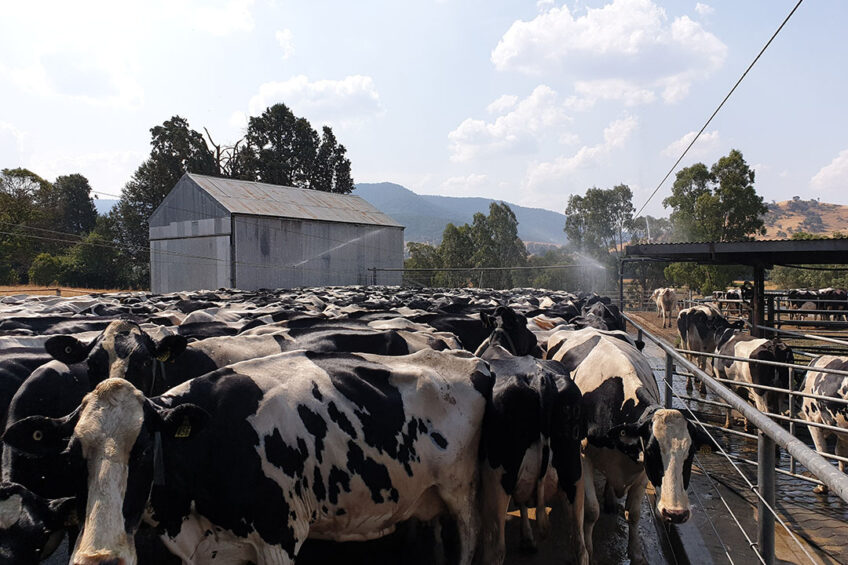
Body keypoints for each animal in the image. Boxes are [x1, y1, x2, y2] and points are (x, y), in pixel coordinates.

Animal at [3, 348, 494, 564]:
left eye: (142, 449)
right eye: (71, 456)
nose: (99, 558)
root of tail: (466, 360)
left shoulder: (280, 539)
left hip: (463, 493)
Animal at [544, 326, 716, 564]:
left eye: (690, 454)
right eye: (652, 451)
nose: (676, 513)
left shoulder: (642, 470)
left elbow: (633, 514)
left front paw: (635, 553)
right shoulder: (584, 456)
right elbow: (591, 511)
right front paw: (589, 550)